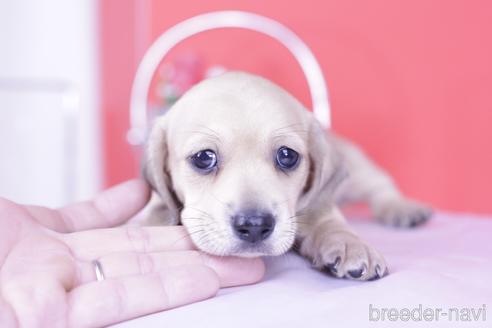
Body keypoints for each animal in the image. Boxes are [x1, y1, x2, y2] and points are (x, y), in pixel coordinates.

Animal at [142, 73, 430, 280]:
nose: (254, 225)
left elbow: (329, 222)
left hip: (359, 171)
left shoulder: (319, 206)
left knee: (381, 188)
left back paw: (402, 208)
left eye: (287, 155)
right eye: (204, 158)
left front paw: (350, 244)